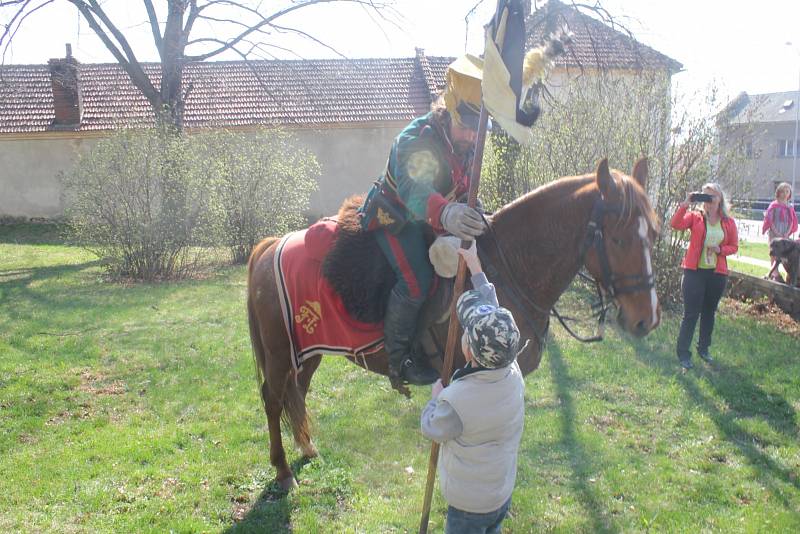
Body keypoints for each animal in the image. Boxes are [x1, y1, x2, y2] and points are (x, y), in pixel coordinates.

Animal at [247, 158, 660, 490]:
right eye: (618, 238)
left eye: (654, 235)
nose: (647, 319)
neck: (507, 265)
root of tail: (272, 245)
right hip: (279, 353)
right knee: (273, 398)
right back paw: (283, 471)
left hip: (310, 351)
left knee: (297, 391)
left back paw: (306, 446)